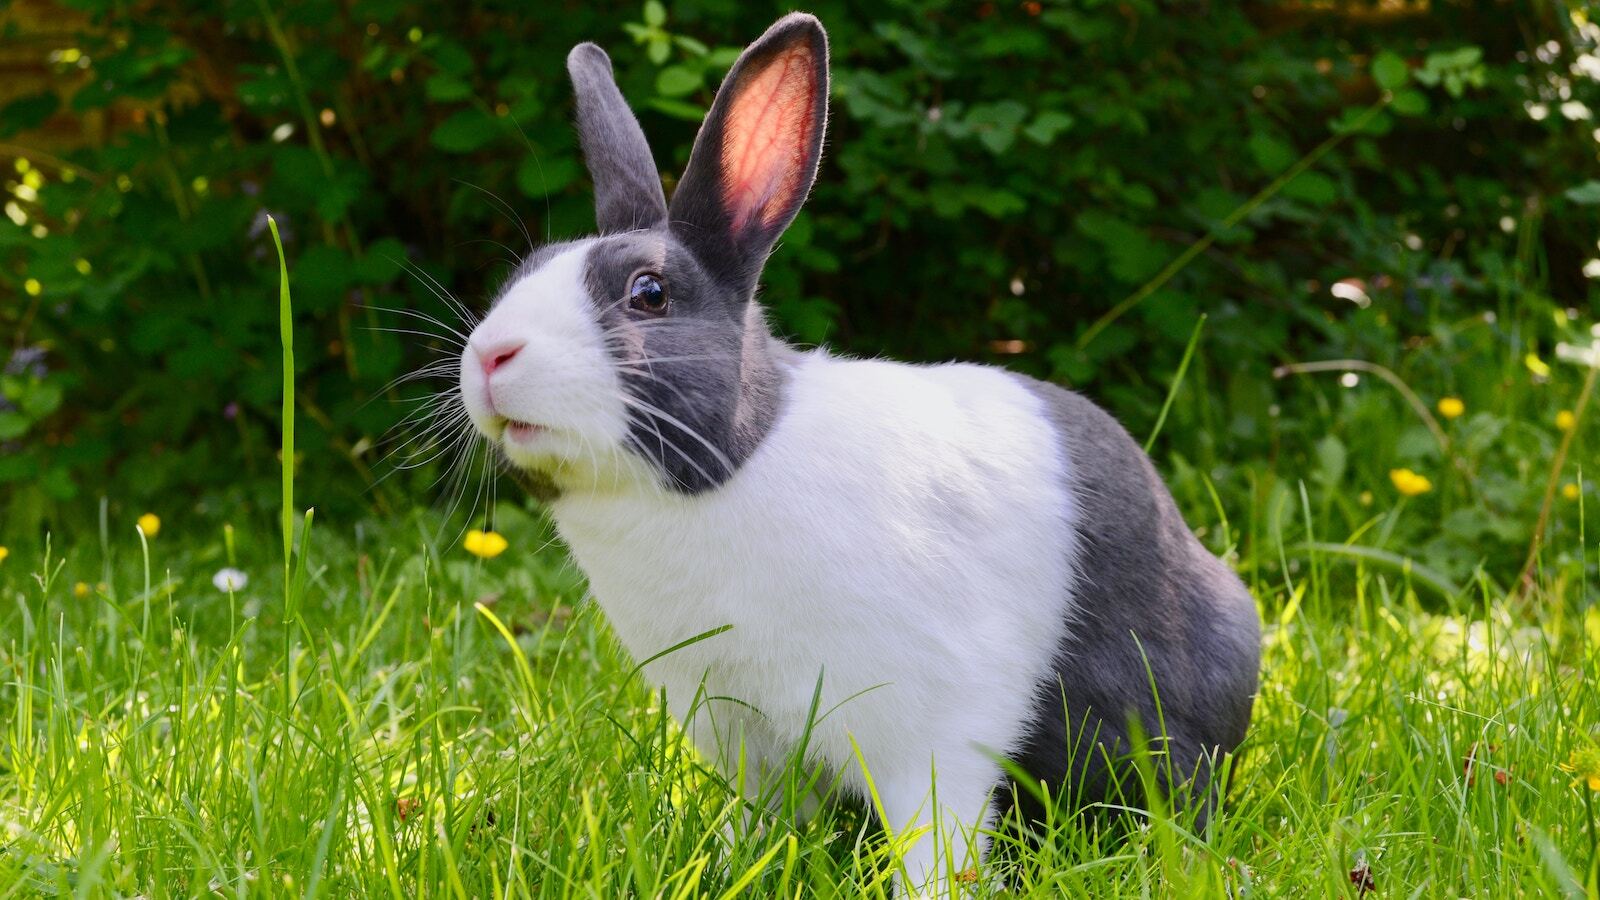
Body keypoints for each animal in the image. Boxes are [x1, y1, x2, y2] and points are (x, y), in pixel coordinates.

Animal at [456, 12, 1261, 892]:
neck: (731, 469)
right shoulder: (742, 732)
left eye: (648, 294)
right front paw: (732, 867)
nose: (490, 355)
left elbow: (937, 834)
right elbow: (759, 819)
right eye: (525, 271)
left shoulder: (930, 727)